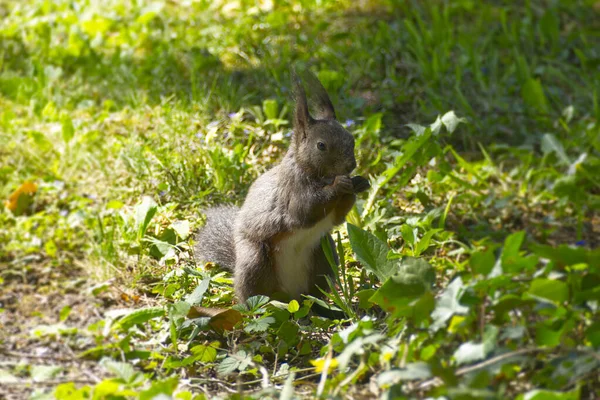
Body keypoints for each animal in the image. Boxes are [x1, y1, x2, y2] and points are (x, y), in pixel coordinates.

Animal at [195, 69, 370, 306]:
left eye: (351, 139)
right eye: (321, 145)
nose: (350, 166)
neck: (317, 174)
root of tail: (291, 295)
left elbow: (338, 218)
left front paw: (359, 183)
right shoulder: (292, 190)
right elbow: (305, 211)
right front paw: (339, 185)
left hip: (324, 254)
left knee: (315, 293)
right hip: (254, 261)